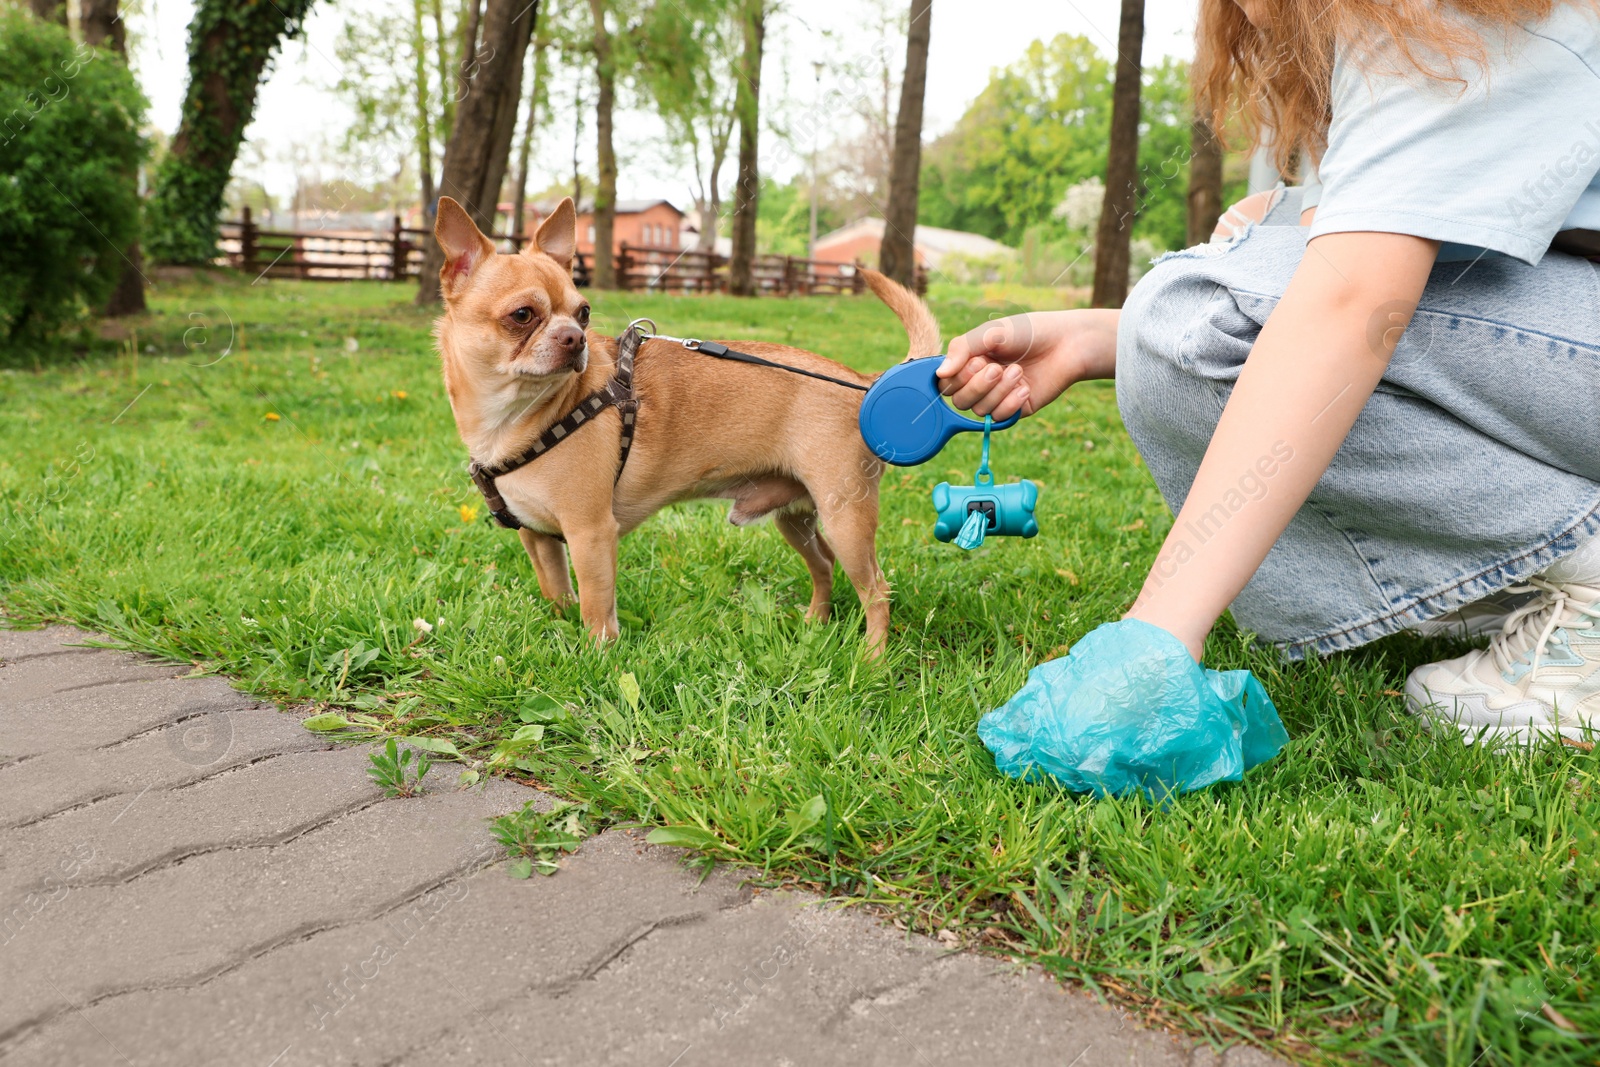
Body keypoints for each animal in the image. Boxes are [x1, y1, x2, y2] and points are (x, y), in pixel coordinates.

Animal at [432, 195, 940, 655]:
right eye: (522, 315)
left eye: (583, 313)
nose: (575, 338)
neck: (513, 417)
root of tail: (864, 382)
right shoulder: (538, 538)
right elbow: (558, 592)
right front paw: (562, 629)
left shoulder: (590, 535)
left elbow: (597, 608)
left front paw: (597, 659)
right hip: (797, 520)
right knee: (825, 566)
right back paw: (816, 624)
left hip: (845, 520)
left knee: (876, 590)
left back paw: (871, 659)